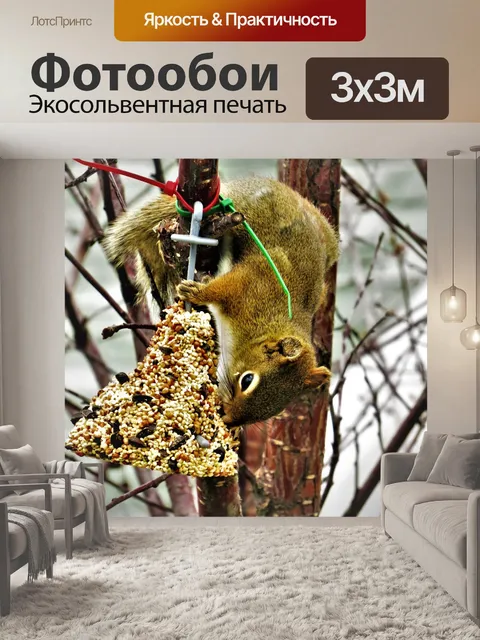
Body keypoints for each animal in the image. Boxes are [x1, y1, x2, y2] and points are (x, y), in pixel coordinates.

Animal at [103, 176, 339, 428]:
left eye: (277, 411)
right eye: (247, 380)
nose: (230, 421)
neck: (258, 329)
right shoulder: (250, 283)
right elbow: (219, 289)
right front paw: (196, 291)